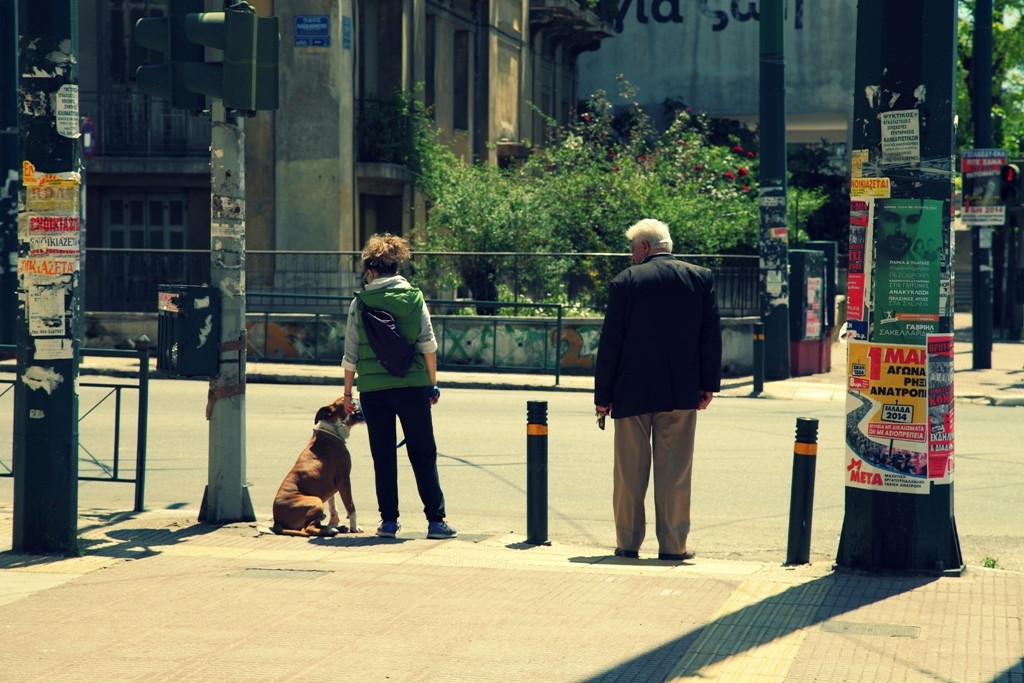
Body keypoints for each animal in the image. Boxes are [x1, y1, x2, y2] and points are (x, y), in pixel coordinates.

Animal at [272, 397, 364, 536]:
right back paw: (331, 530)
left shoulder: (333, 486)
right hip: (316, 501)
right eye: (351, 399)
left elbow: (333, 506)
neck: (332, 429)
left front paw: (335, 522)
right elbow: (351, 507)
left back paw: (335, 527)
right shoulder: (344, 479)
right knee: (308, 529)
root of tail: (276, 521)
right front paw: (354, 527)